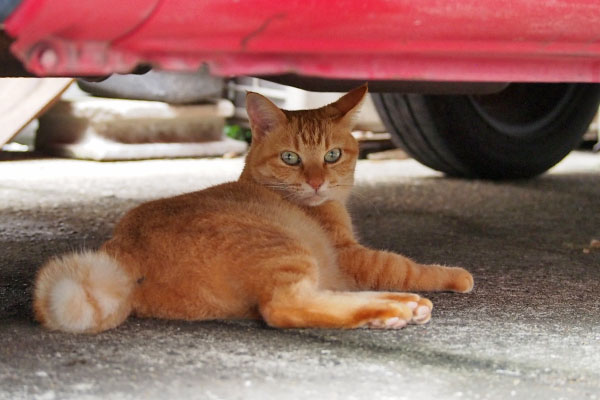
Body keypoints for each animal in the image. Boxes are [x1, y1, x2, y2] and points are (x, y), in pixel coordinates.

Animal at [32, 86, 474, 332]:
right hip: (283, 248)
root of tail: (121, 253)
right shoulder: (353, 257)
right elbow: (407, 266)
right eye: (291, 158)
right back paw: (395, 307)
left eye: (332, 155)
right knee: (286, 307)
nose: (316, 182)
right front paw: (455, 275)